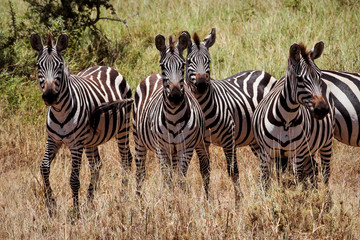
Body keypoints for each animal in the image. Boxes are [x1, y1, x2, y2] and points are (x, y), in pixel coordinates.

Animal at [29, 32, 134, 215]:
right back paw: (89, 201)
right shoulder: (53, 140)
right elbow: (44, 168)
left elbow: (74, 179)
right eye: (38, 66)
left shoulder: (76, 144)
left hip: (123, 127)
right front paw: (51, 204)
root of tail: (105, 67)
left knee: (126, 159)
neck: (60, 111)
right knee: (96, 165)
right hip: (91, 140)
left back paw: (123, 195)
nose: (50, 96)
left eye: (60, 66)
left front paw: (75, 211)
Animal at [134, 31, 210, 197]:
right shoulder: (161, 150)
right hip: (138, 140)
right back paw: (138, 199)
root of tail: (153, 75)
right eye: (163, 66)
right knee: (140, 173)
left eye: (182, 65)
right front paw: (169, 199)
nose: (175, 96)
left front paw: (180, 198)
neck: (174, 116)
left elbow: (180, 179)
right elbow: (167, 179)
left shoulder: (186, 148)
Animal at [184, 27, 278, 202]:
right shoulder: (201, 143)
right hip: (255, 140)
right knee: (268, 164)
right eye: (188, 61)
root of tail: (262, 72)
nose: (201, 85)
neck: (203, 108)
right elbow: (205, 172)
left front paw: (238, 201)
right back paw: (268, 192)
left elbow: (233, 171)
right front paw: (207, 201)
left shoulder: (229, 138)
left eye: (209, 61)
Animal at [253, 41, 334, 191]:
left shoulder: (298, 153)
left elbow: (297, 182)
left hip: (326, 142)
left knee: (325, 172)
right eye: (300, 78)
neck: (286, 119)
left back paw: (324, 195)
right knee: (312, 170)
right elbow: (264, 182)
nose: (322, 110)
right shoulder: (266, 152)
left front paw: (296, 195)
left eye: (319, 76)